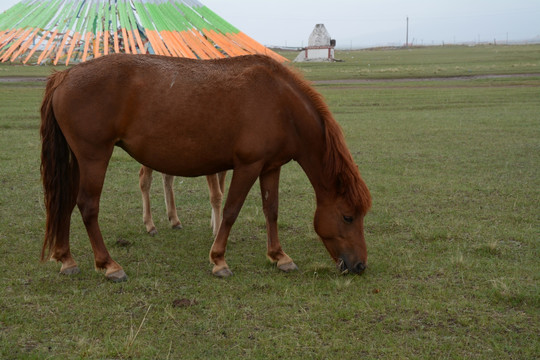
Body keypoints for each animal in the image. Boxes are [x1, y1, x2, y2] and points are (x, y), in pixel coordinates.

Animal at [39, 52, 372, 282]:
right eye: (348, 216)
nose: (359, 266)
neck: (280, 102)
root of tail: (65, 75)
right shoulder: (248, 166)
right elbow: (231, 210)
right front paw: (219, 259)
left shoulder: (270, 167)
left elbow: (272, 210)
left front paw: (279, 256)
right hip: (94, 157)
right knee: (87, 206)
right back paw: (109, 265)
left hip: (77, 161)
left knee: (65, 203)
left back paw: (66, 259)